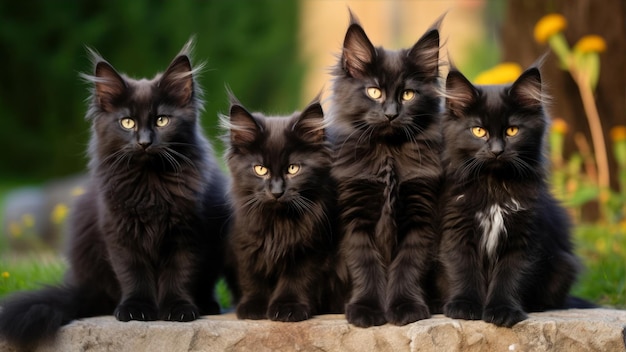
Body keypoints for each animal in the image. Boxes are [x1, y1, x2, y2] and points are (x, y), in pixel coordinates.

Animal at [0, 41, 229, 350]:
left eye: (162, 120)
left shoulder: (188, 232)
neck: (150, 184)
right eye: (127, 123)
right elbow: (133, 273)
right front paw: (135, 309)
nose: (144, 142)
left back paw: (207, 305)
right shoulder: (119, 233)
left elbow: (179, 273)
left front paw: (179, 309)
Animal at [222, 96, 344, 322]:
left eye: (293, 169)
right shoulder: (245, 243)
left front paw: (288, 308)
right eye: (260, 169)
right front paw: (254, 306)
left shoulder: (311, 249)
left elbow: (296, 279)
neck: (278, 223)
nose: (277, 191)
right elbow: (251, 276)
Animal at [326, 13, 444, 328]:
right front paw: (366, 310)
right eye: (374, 91)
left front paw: (406, 307)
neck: (388, 154)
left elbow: (407, 266)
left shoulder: (421, 216)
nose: (391, 113)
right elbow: (365, 266)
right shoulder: (354, 219)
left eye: (408, 94)